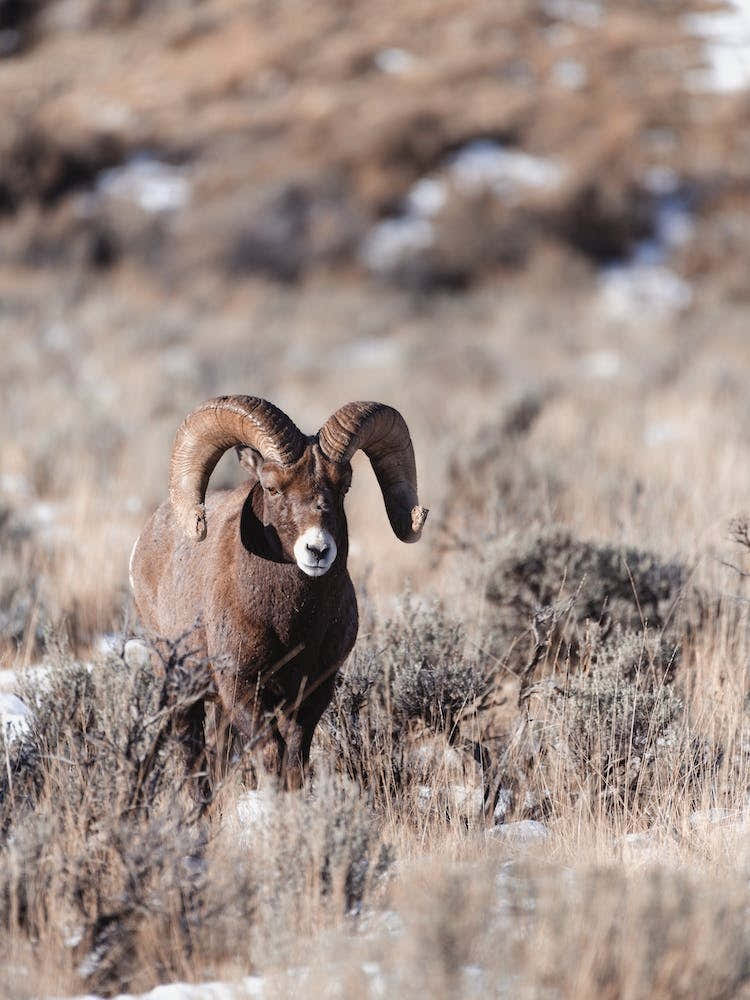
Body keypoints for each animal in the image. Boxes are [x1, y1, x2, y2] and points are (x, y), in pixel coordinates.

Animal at [129, 395, 427, 795]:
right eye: (271, 488)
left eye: (344, 486)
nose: (317, 550)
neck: (291, 624)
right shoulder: (241, 688)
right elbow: (270, 753)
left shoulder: (313, 691)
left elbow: (295, 758)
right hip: (180, 686)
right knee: (192, 758)